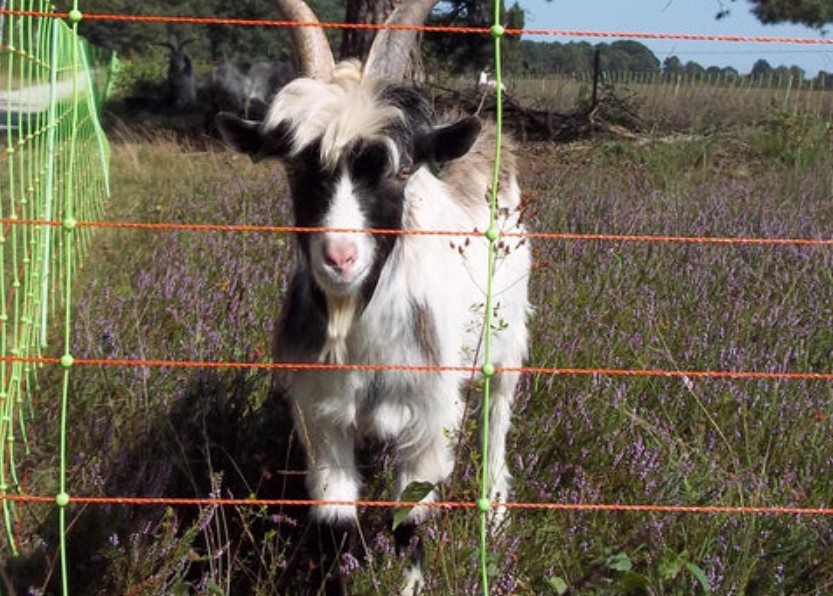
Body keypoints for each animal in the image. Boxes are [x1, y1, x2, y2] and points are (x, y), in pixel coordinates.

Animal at [214, 2, 528, 592]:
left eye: (400, 169)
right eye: (295, 167)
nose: (339, 257)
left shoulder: (431, 418)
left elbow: (409, 523)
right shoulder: (323, 416)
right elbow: (336, 528)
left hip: (509, 333)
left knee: (499, 412)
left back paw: (496, 512)